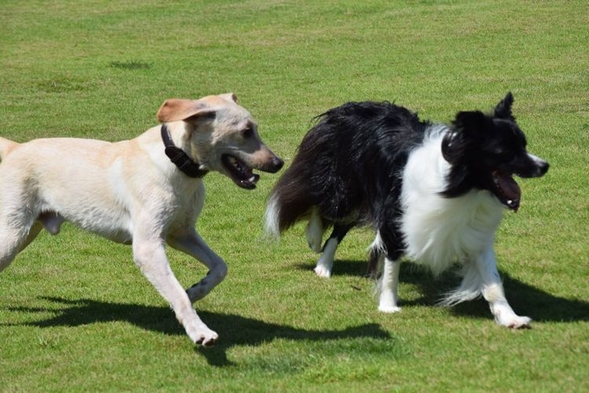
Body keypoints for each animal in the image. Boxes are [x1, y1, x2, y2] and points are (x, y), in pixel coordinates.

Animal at [264, 92, 548, 328]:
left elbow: (493, 281)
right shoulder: (396, 217)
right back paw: (316, 244)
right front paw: (388, 305)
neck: (460, 186)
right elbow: (392, 266)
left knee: (339, 225)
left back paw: (324, 262)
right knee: (324, 206)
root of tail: (346, 108)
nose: (544, 165)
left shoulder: (471, 230)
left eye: (524, 145)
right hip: (345, 187)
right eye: (504, 151)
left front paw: (509, 317)